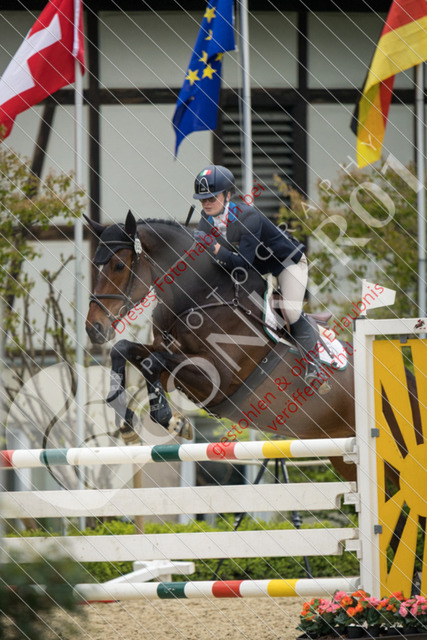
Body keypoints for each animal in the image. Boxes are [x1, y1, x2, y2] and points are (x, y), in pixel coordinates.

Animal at [85, 211, 356, 480]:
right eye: (95, 266)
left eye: (119, 265)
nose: (93, 328)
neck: (199, 299)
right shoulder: (169, 365)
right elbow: (124, 350)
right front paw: (128, 423)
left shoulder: (220, 378)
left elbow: (152, 362)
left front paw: (172, 420)